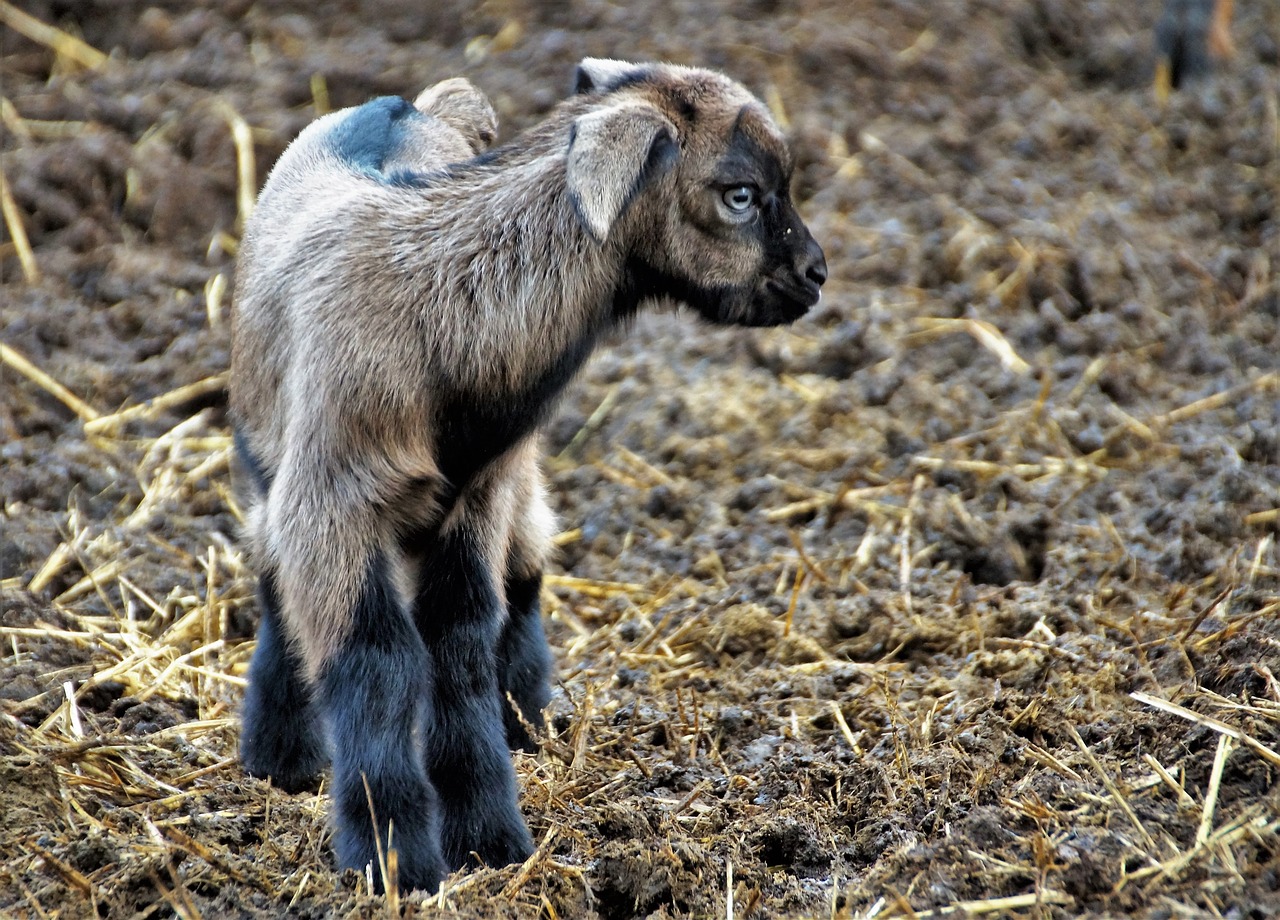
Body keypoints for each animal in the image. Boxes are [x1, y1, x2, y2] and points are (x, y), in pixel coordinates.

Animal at [231, 57, 829, 890]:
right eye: (739, 193)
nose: (816, 274)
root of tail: (402, 104)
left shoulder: (477, 494)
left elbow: (460, 643)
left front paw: (487, 836)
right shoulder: (334, 498)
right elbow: (375, 659)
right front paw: (394, 861)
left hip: (507, 480)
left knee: (523, 567)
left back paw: (525, 722)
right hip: (270, 452)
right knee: (272, 574)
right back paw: (280, 759)